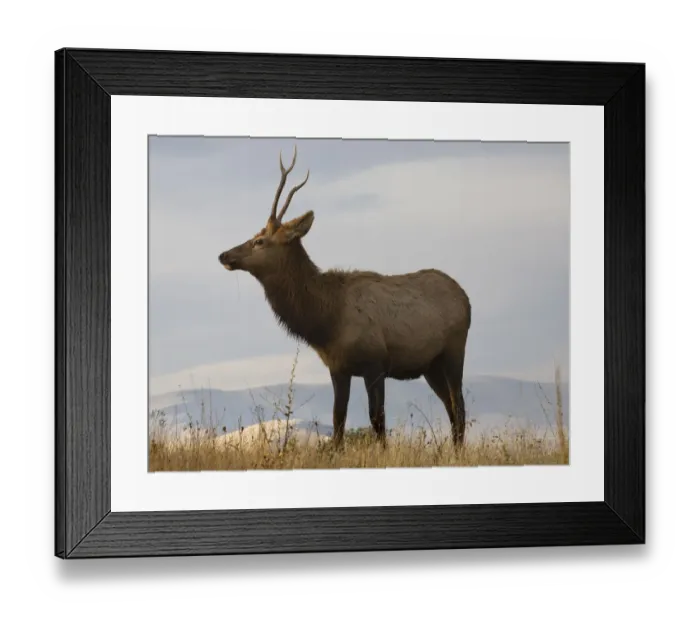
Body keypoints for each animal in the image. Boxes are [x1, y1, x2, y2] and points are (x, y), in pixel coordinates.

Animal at [218, 146, 472, 448]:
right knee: (451, 407)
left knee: (459, 406)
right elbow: (338, 420)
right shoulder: (338, 367)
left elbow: (377, 420)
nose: (224, 255)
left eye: (259, 241)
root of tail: (466, 299)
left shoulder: (376, 363)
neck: (327, 321)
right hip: (430, 366)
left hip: (454, 350)